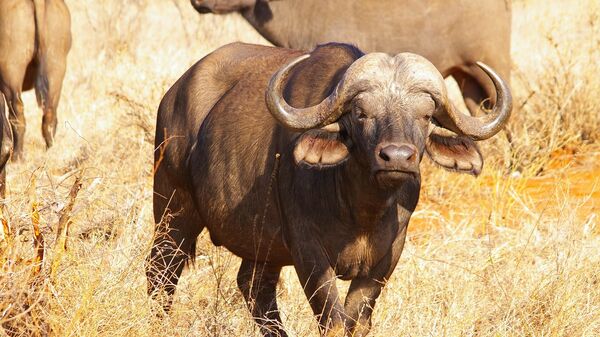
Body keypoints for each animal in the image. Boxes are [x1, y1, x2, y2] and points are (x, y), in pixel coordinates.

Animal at [0, 0, 71, 160]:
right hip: (55, 68)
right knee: (49, 114)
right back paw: (50, 153)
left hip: (10, 73)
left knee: (17, 113)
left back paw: (17, 157)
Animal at [146, 42, 510, 336]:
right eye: (361, 114)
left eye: (425, 116)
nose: (396, 156)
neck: (360, 210)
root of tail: (174, 93)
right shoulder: (308, 253)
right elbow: (332, 321)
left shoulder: (386, 259)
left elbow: (356, 322)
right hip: (173, 209)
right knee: (161, 273)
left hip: (262, 244)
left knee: (255, 288)